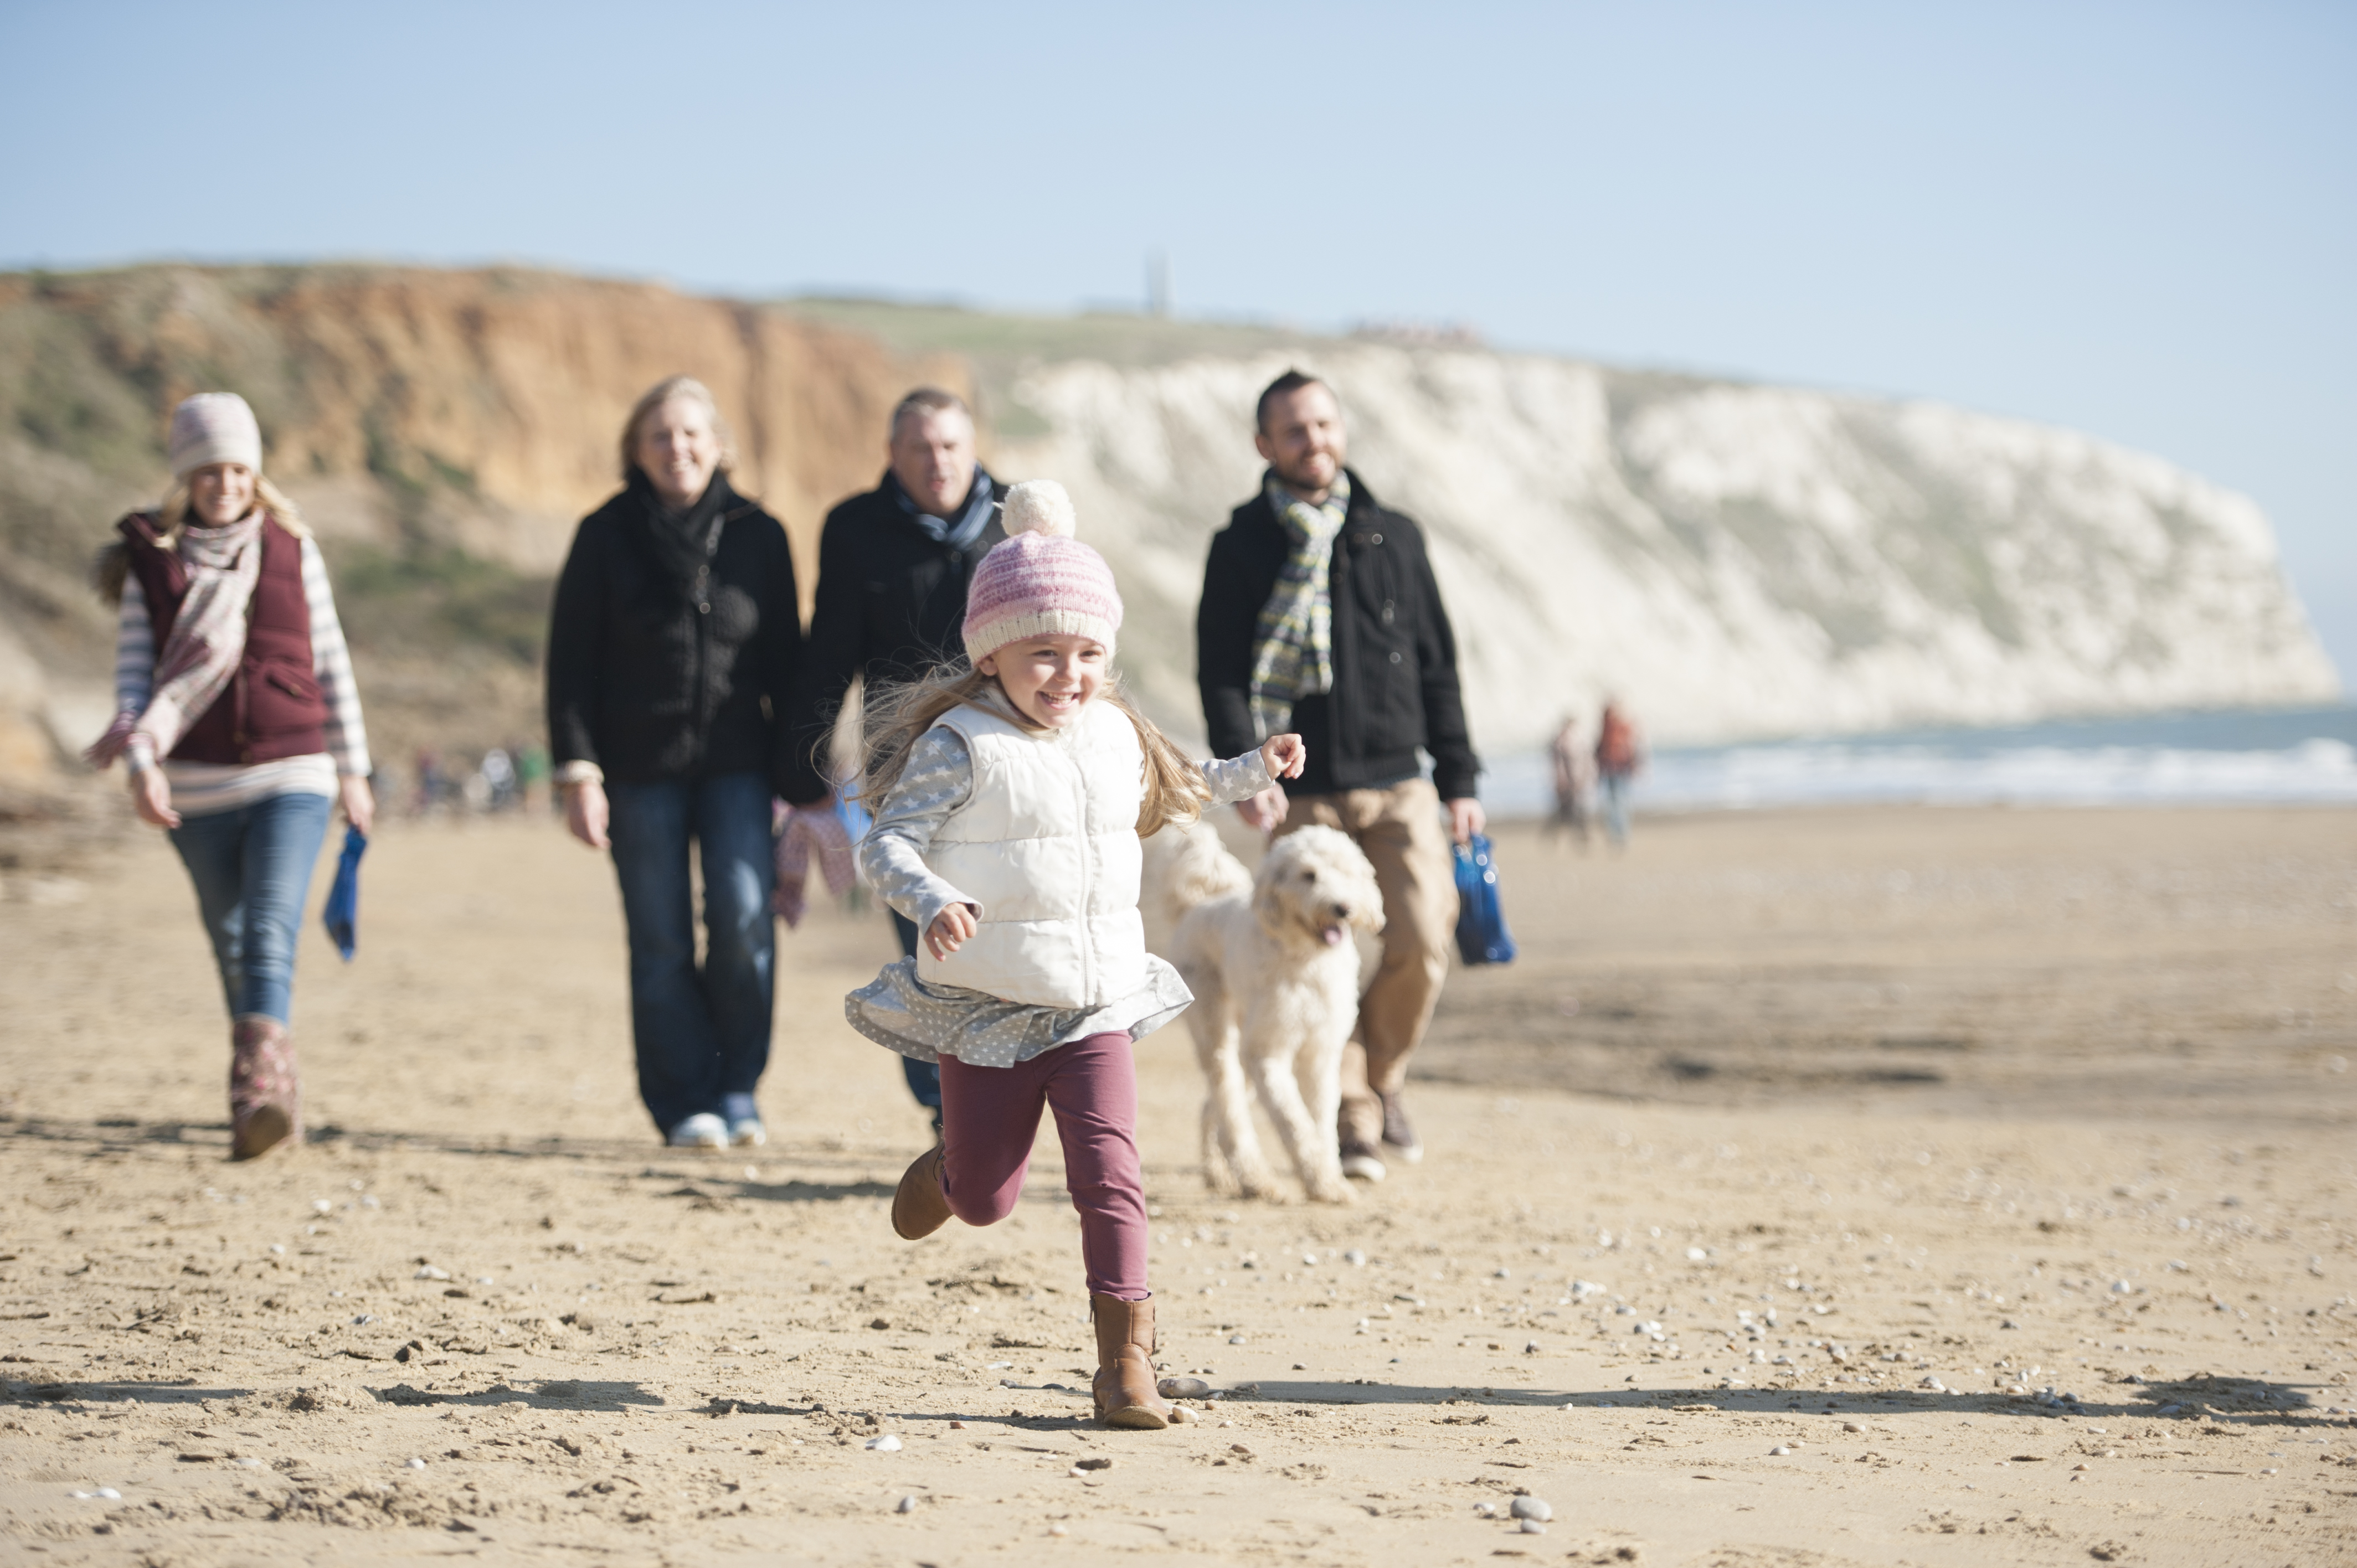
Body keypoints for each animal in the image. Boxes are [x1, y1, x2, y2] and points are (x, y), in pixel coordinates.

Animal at [1155, 821, 1376, 1198]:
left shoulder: (1321, 1054)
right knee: (1228, 1102)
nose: (1343, 908)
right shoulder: (1269, 1053)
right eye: (1309, 875)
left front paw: (1331, 1180)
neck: (1307, 960)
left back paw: (1220, 1173)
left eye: (1346, 873)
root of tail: (1198, 905)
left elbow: (1321, 1122)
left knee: (1213, 1105)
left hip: (1245, 1047)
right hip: (1219, 1035)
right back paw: (1254, 1178)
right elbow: (1294, 1121)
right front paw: (1322, 1183)